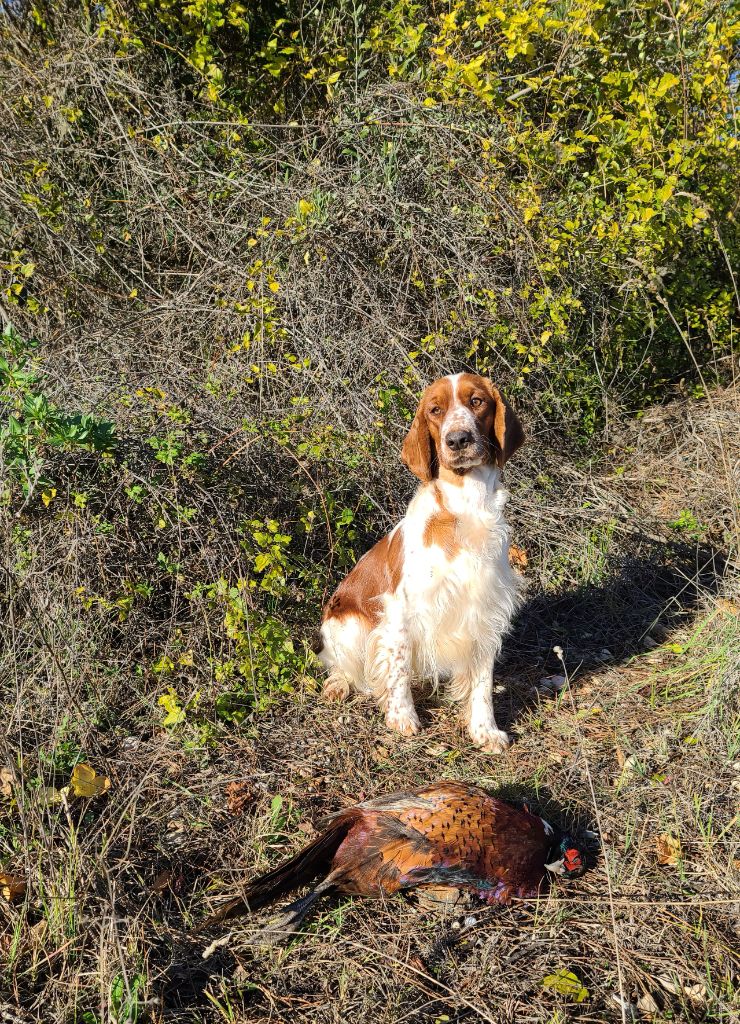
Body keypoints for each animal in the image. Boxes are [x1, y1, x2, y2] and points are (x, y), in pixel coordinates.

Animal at [315, 374, 524, 753]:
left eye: (477, 401)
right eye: (435, 410)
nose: (457, 439)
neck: (464, 507)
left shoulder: (485, 611)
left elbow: (482, 684)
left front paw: (485, 730)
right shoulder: (401, 609)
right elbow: (397, 669)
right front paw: (402, 719)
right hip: (345, 624)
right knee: (342, 666)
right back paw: (339, 685)